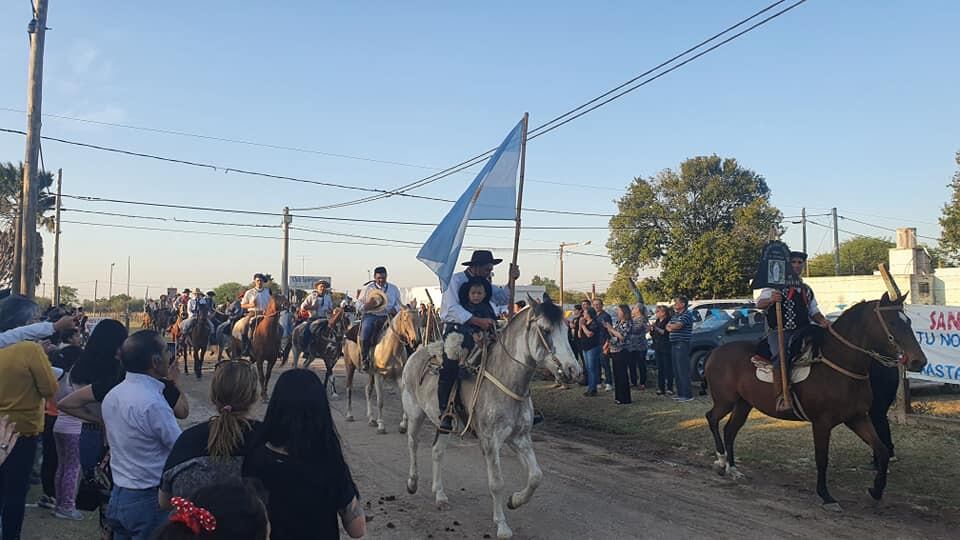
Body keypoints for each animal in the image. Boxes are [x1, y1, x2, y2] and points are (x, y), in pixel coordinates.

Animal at [402, 298, 580, 536]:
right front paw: (502, 525)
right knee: (413, 444)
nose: (574, 370)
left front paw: (515, 500)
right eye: (545, 330)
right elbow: (496, 483)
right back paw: (412, 482)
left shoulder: (520, 438)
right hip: (414, 413)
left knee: (437, 452)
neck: (504, 378)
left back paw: (440, 496)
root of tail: (418, 351)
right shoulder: (490, 441)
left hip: (445, 423)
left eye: (568, 330)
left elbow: (536, 476)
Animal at [704, 294, 924, 512]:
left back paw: (733, 469)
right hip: (726, 401)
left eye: (908, 321)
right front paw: (826, 496)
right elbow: (822, 458)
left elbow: (882, 450)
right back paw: (721, 460)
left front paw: (876, 491)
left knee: (730, 430)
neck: (839, 367)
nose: (918, 361)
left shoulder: (857, 418)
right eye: (892, 322)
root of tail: (715, 353)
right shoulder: (821, 423)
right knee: (712, 418)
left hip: (743, 404)